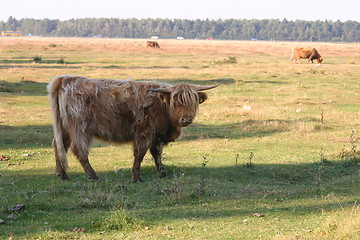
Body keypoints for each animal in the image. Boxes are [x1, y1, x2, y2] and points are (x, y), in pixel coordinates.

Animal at [47, 75, 217, 182]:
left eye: (193, 102)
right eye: (176, 102)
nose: (186, 119)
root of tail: (65, 79)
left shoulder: (156, 135)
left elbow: (157, 153)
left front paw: (162, 172)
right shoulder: (144, 130)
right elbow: (140, 154)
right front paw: (136, 178)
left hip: (64, 128)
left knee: (58, 145)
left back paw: (62, 175)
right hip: (79, 128)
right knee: (79, 150)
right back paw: (93, 176)